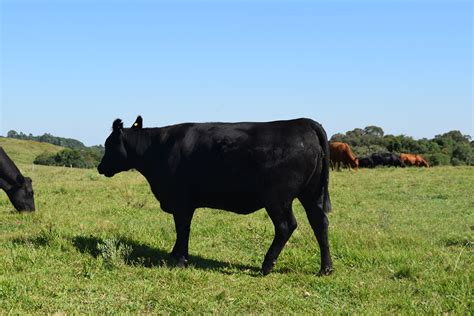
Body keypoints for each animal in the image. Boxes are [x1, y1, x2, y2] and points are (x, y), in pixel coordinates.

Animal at [97, 117, 332, 276]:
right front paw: (174, 254)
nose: (100, 167)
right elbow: (180, 230)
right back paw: (326, 268)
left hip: (277, 198)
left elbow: (183, 229)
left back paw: (266, 266)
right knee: (319, 223)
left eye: (109, 144)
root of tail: (303, 122)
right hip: (311, 194)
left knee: (286, 226)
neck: (158, 149)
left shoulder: (182, 202)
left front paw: (180, 260)